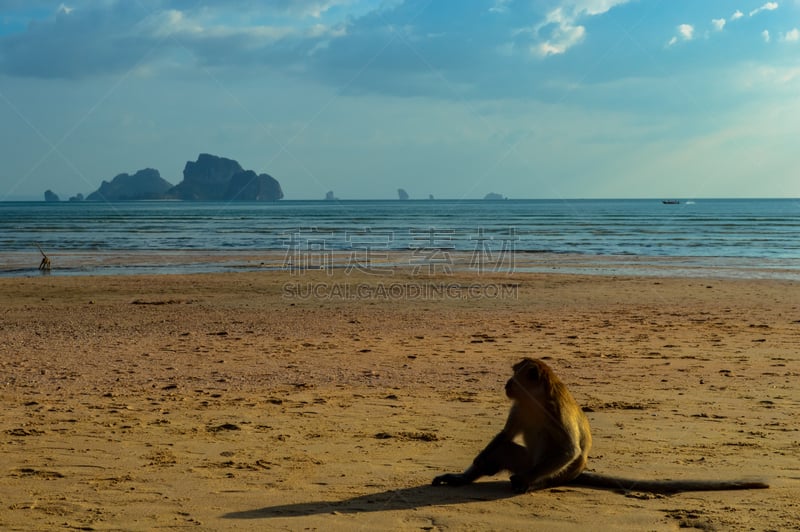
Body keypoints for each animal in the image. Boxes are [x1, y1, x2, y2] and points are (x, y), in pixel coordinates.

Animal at [432, 358, 768, 494]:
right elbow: (503, 435)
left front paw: (525, 480)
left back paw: (531, 483)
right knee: (502, 450)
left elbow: (569, 448)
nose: (506, 384)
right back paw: (463, 479)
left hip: (557, 472)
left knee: (557, 463)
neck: (536, 401)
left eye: (514, 377)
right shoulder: (521, 406)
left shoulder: (555, 410)